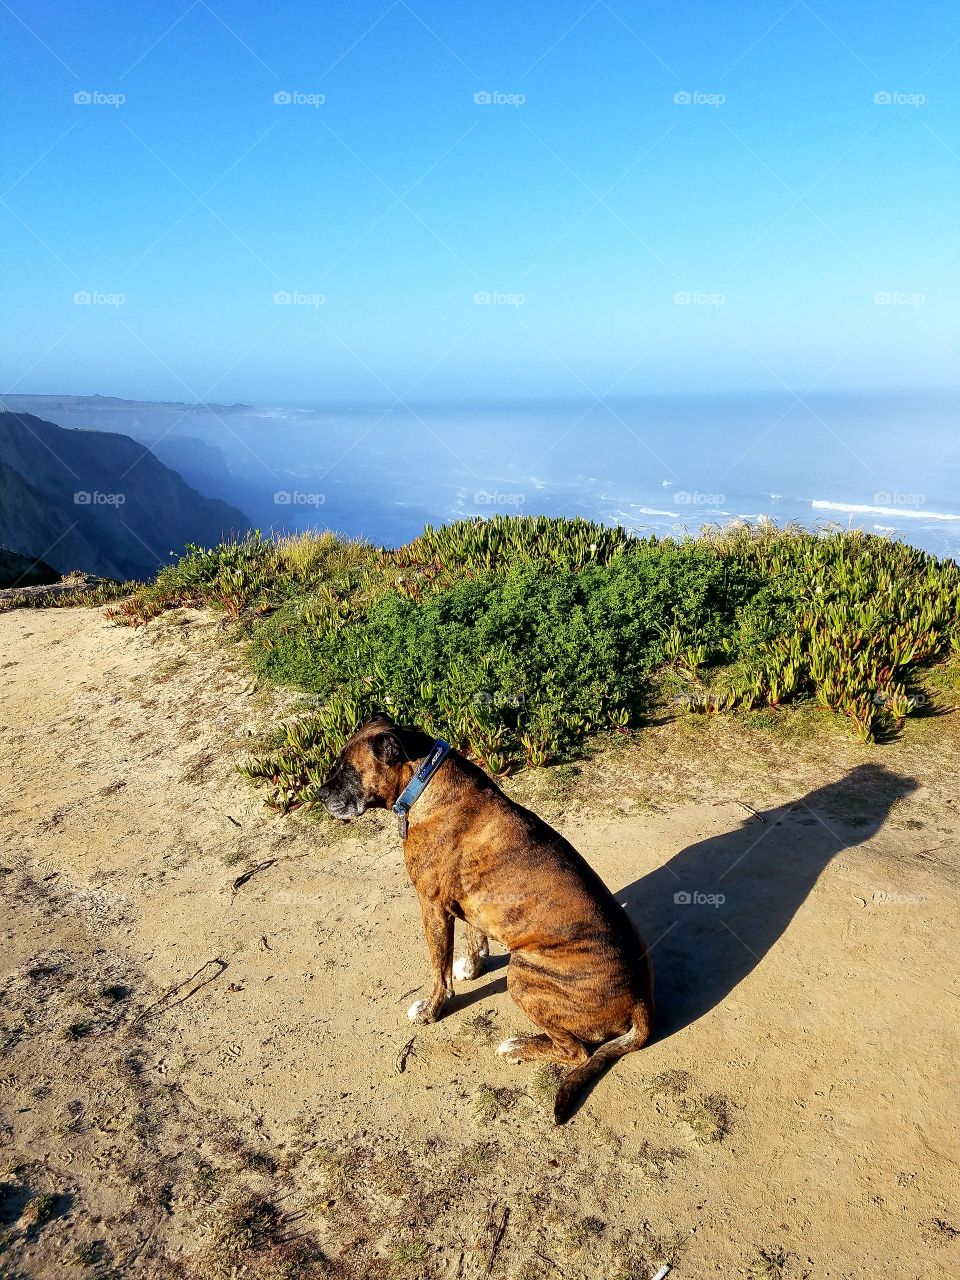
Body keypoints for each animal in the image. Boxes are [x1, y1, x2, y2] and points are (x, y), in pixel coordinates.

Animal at [320, 711, 660, 1121]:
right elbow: (473, 934)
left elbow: (438, 970)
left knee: (576, 1051)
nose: (321, 794)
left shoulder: (432, 906)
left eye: (347, 769)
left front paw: (431, 1010)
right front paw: (473, 964)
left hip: (524, 975)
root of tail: (642, 1001)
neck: (424, 780)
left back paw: (518, 1047)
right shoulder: (467, 903)